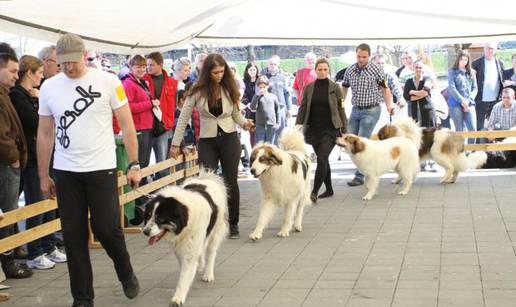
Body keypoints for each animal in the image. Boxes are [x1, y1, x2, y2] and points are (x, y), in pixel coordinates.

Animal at [143, 171, 228, 307]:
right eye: (149, 216)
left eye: (160, 219)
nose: (145, 232)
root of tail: (205, 178)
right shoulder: (179, 247)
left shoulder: (191, 246)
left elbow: (185, 274)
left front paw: (178, 298)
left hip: (216, 229)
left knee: (211, 251)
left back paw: (208, 274)